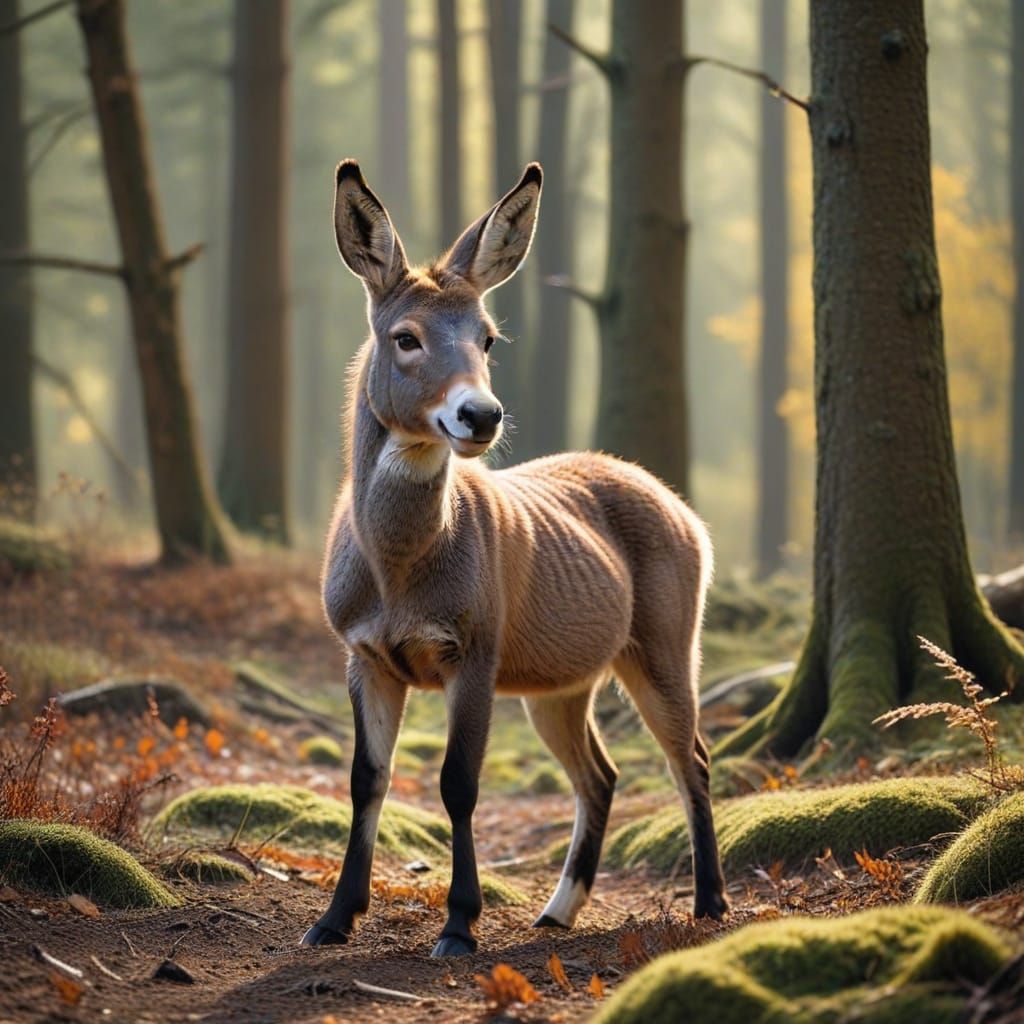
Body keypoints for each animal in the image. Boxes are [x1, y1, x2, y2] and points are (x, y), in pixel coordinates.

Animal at [300, 159, 727, 956]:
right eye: (405, 336)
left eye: (489, 338)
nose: (481, 414)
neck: (398, 577)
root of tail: (688, 514)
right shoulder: (363, 652)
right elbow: (366, 778)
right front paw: (333, 919)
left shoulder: (476, 643)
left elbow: (458, 782)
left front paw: (459, 927)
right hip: (561, 682)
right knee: (601, 773)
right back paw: (557, 911)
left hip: (666, 637)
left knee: (691, 756)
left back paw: (711, 902)